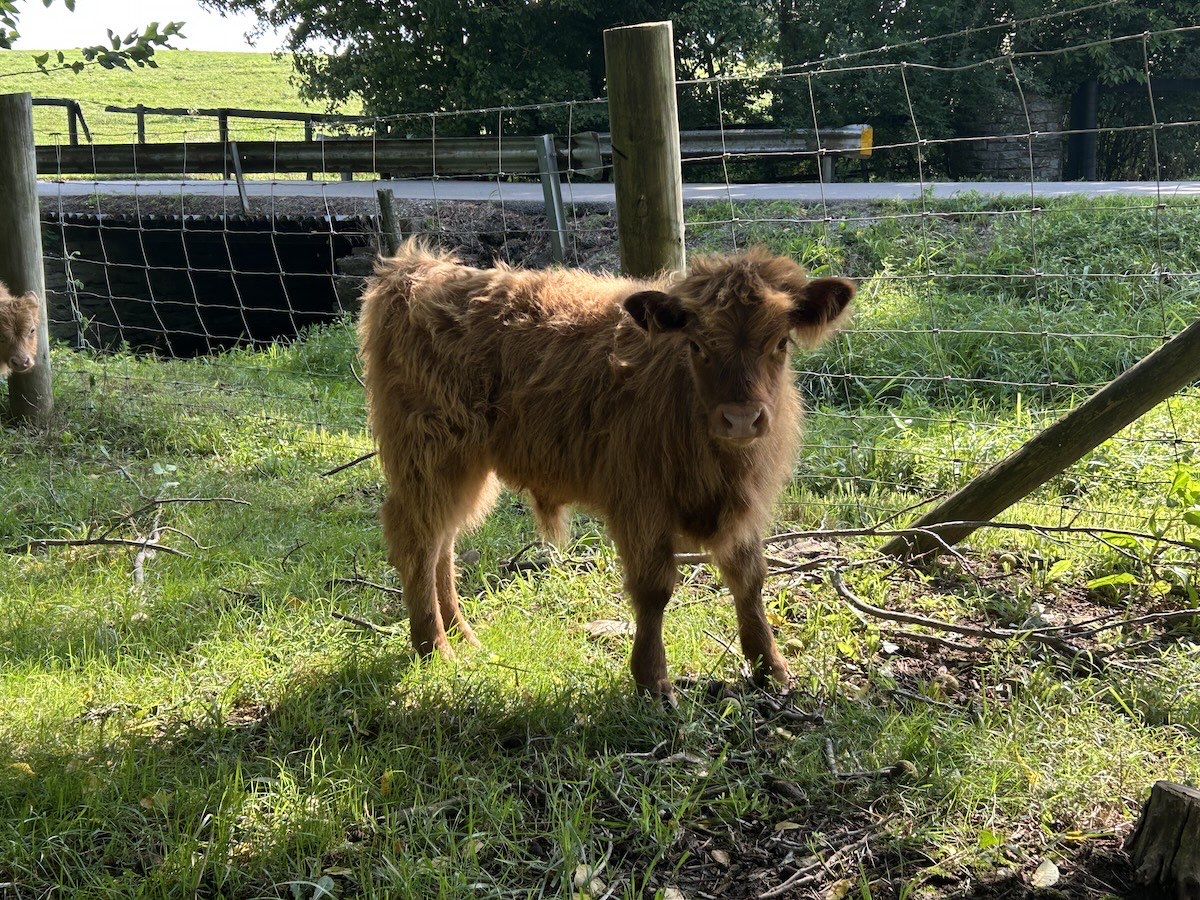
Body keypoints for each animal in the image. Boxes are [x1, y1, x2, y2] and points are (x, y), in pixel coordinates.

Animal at [358, 240, 854, 701]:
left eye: (781, 342)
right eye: (696, 345)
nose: (741, 418)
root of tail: (416, 269)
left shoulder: (743, 506)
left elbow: (750, 580)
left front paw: (772, 669)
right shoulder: (640, 501)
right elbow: (654, 588)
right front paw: (653, 680)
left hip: (463, 468)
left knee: (443, 541)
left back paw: (462, 634)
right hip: (430, 454)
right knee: (417, 539)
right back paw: (435, 646)